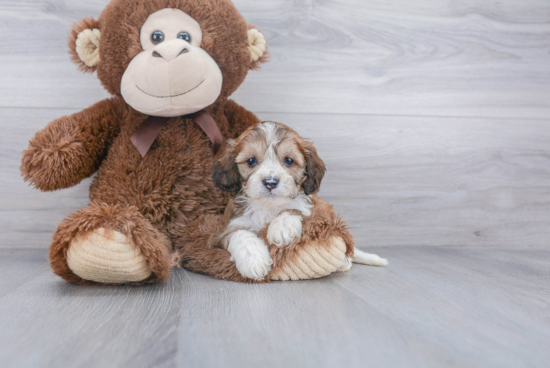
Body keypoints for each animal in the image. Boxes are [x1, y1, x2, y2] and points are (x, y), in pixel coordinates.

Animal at [211, 122, 388, 280]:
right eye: (251, 161)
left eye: (289, 160)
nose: (270, 182)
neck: (269, 207)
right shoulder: (224, 232)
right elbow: (240, 234)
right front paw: (254, 260)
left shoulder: (314, 208)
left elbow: (296, 209)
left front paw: (282, 227)